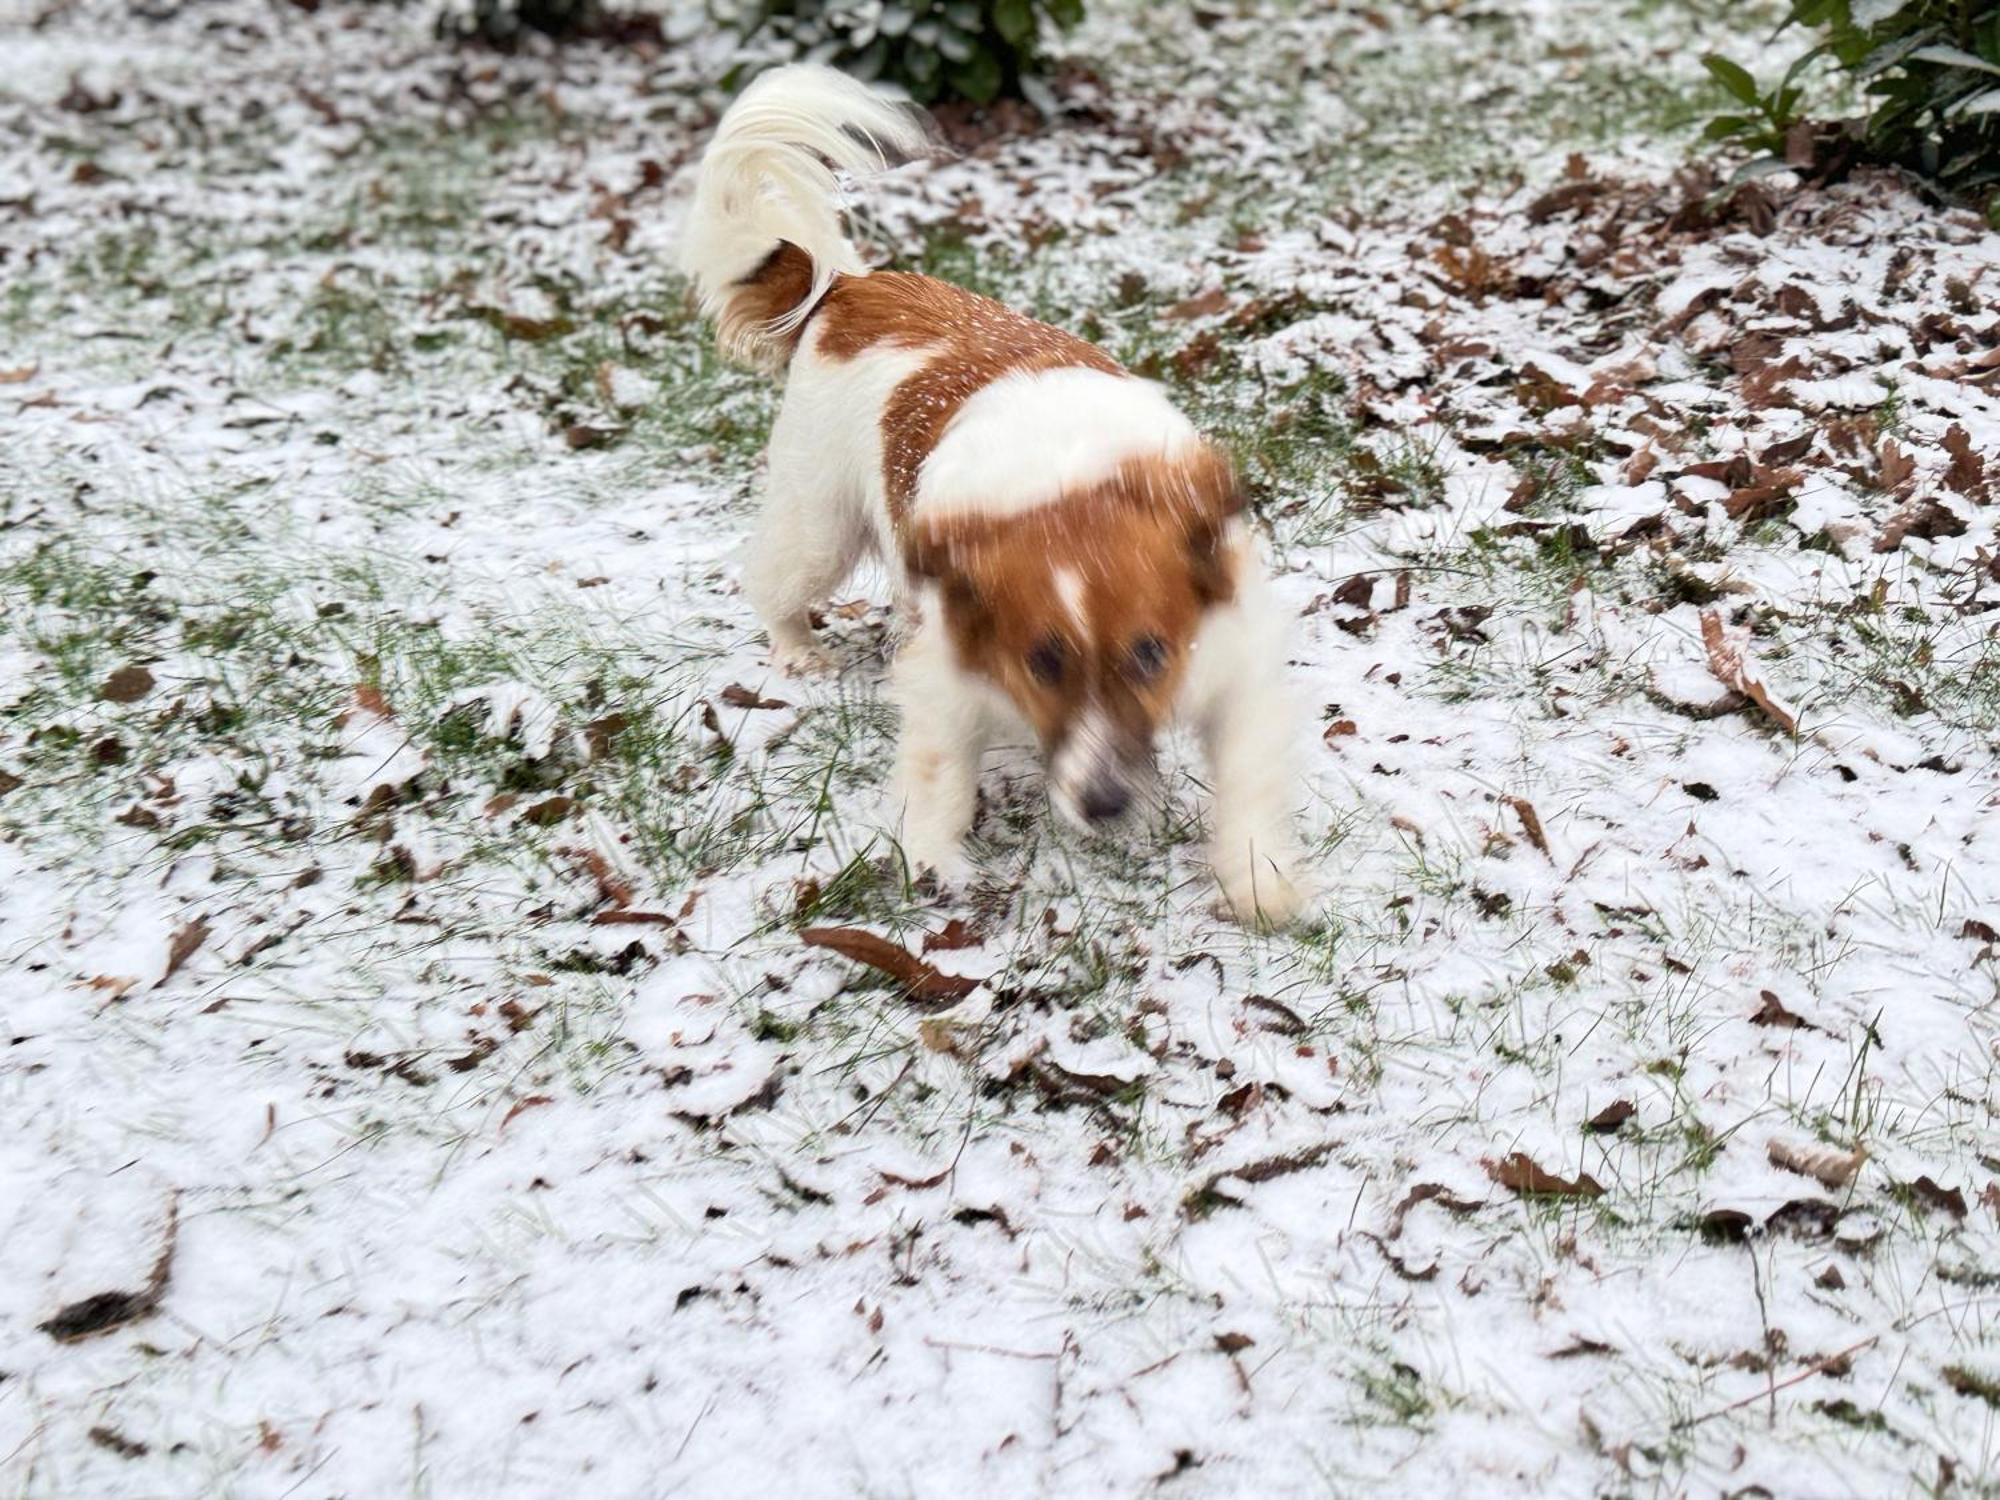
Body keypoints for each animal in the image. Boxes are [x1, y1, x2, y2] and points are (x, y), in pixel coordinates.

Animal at [684, 64, 1312, 928]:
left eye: (1151, 653)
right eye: (1041, 662)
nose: (1107, 805)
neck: (1071, 487)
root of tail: (848, 289)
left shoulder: (1233, 656)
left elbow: (1247, 773)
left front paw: (1258, 878)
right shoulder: (948, 673)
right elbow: (938, 774)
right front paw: (932, 861)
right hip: (820, 527)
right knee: (775, 581)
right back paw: (798, 647)